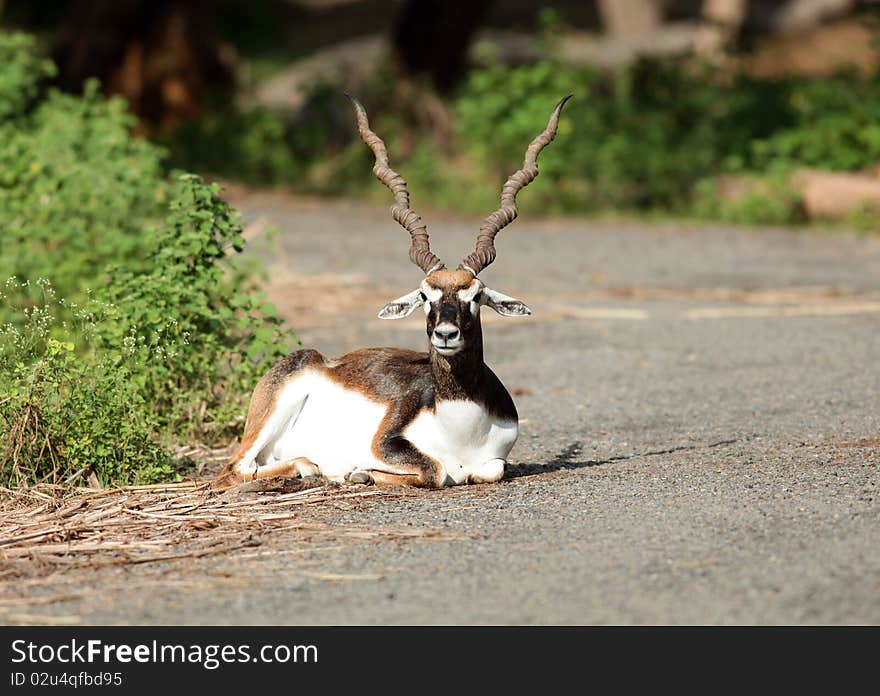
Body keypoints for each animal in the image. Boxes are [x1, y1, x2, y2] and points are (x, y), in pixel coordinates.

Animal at [217, 94, 576, 490]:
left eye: (476, 296)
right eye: (424, 296)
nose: (445, 334)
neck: (461, 429)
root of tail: (318, 359)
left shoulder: (496, 458)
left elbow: (491, 469)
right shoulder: (387, 444)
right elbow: (436, 470)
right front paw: (359, 472)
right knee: (234, 468)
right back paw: (315, 467)